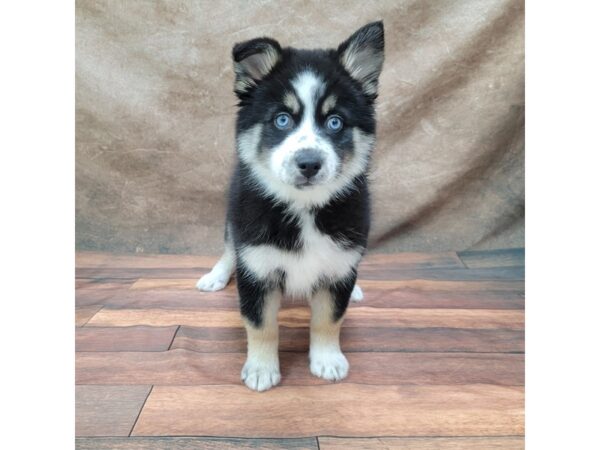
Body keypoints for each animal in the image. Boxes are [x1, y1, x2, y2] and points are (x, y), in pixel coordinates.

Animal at [197, 22, 384, 392]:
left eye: (335, 122)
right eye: (282, 120)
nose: (309, 163)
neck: (304, 209)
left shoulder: (338, 267)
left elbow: (329, 319)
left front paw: (327, 360)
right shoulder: (256, 267)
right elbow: (261, 325)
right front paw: (261, 370)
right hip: (233, 221)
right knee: (228, 248)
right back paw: (215, 276)